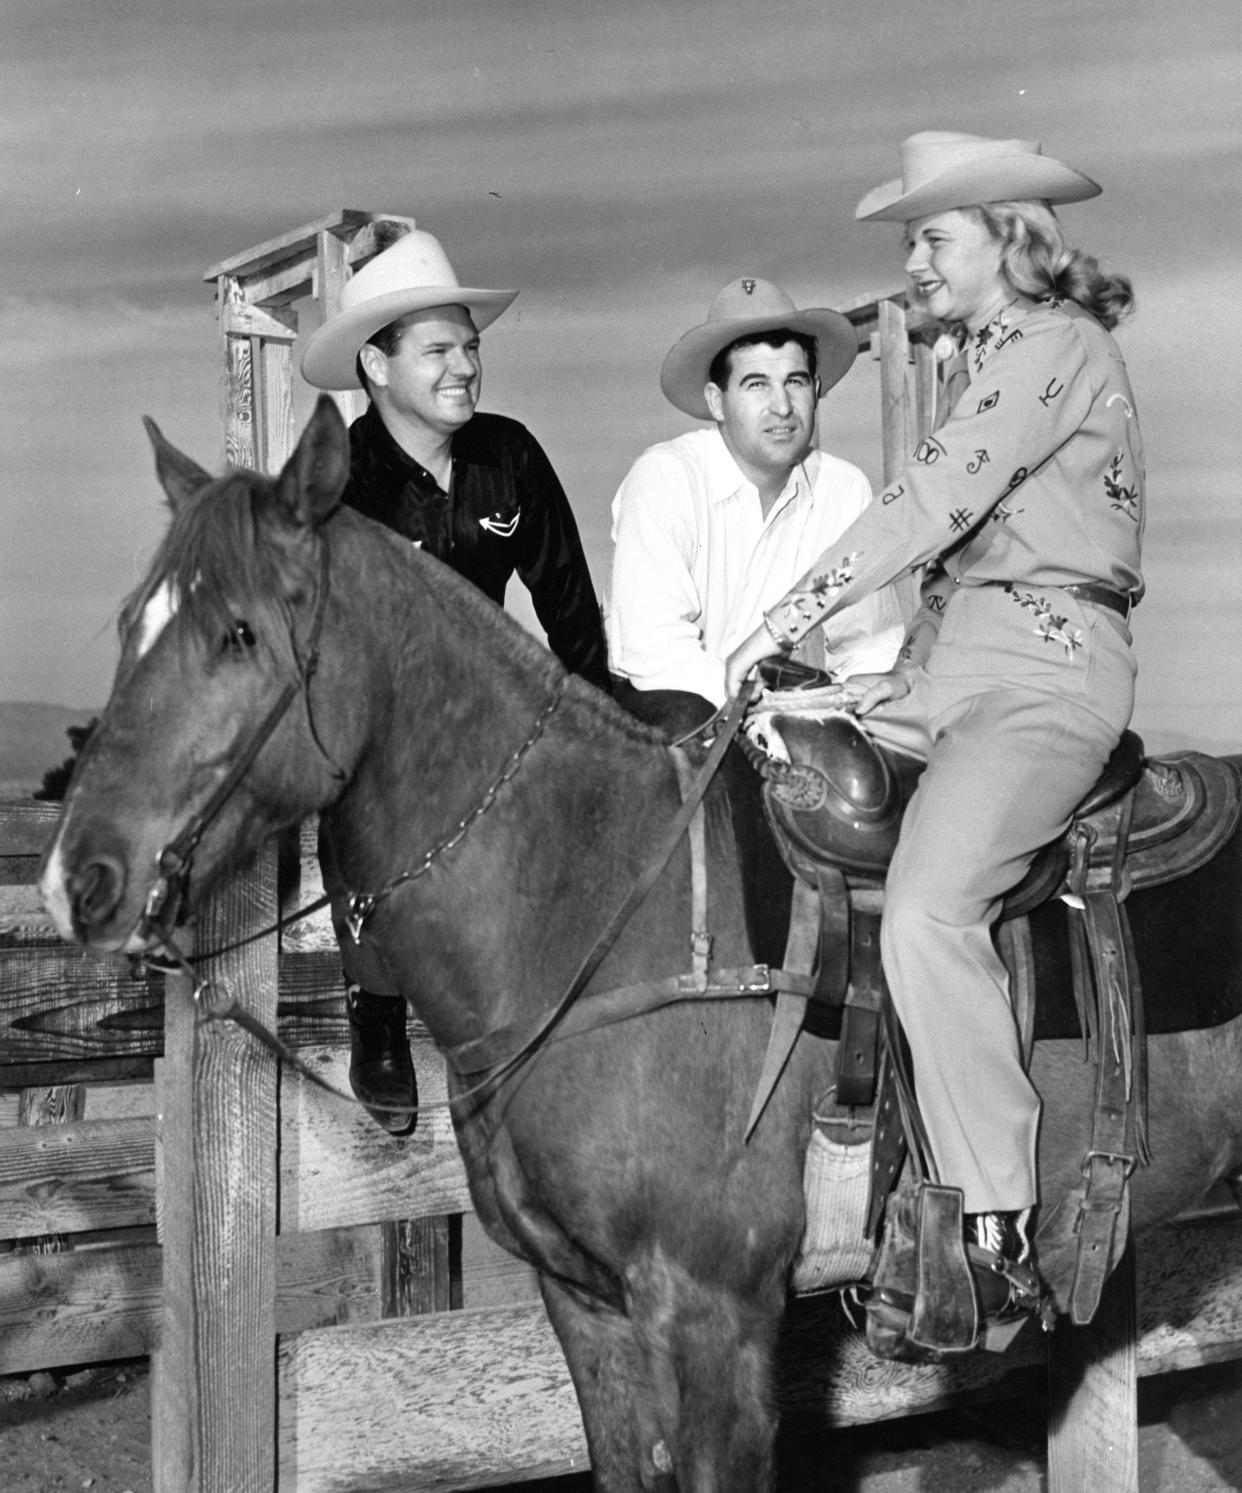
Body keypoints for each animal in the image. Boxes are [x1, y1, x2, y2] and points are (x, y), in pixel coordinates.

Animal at [43, 391, 1242, 1487]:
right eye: (130, 622)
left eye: (239, 631)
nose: (77, 879)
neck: (595, 901)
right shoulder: (587, 1306)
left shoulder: (716, 1315)